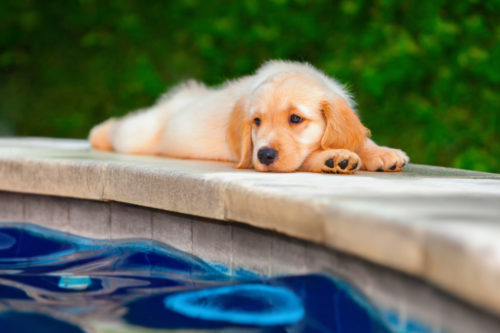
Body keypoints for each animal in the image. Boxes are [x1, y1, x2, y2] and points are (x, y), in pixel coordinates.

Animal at [90, 60, 408, 174]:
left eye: (295, 119)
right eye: (256, 122)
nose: (265, 155)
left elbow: (361, 139)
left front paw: (382, 153)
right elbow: (305, 157)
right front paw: (335, 157)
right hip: (140, 134)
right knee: (123, 127)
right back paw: (99, 133)